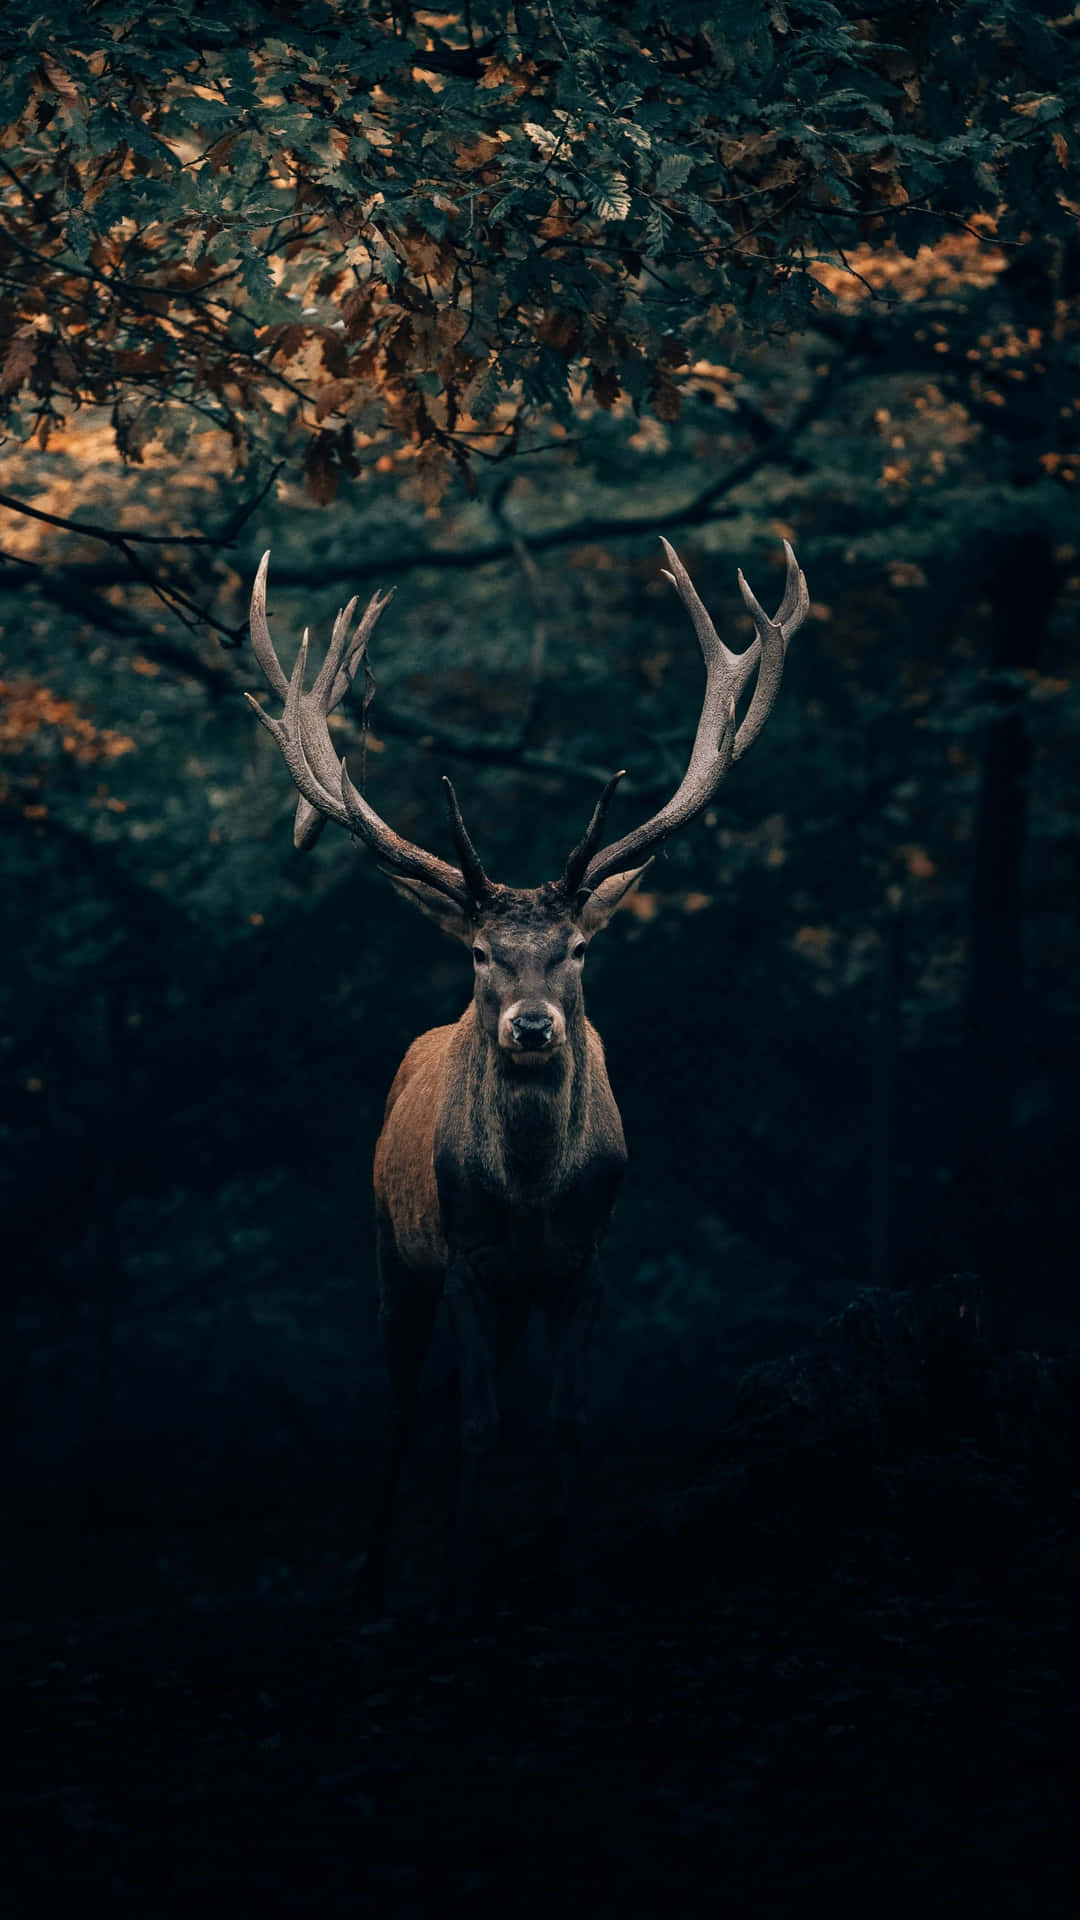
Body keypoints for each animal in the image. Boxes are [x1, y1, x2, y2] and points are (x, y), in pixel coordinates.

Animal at [245, 537, 807, 1613]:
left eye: (579, 949)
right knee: (405, 1403)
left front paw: (571, 1566)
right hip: (391, 1249)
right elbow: (474, 1423)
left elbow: (565, 1418)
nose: (533, 1026)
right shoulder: (466, 1257)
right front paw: (455, 1578)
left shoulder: (586, 1261)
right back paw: (377, 1572)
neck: (535, 1195)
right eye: (479, 953)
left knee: (459, 1394)